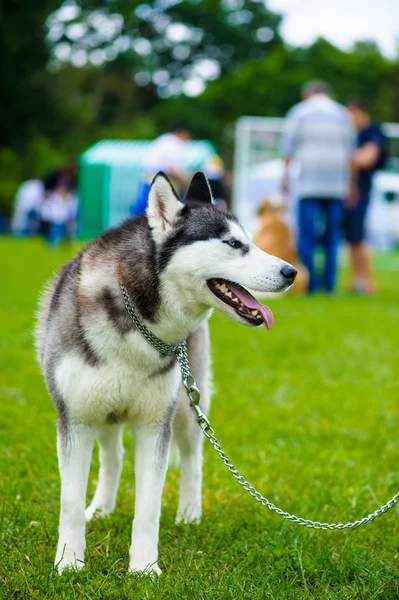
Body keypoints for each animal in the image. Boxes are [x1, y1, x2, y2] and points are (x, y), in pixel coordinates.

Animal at [36, 171, 296, 576]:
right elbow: (70, 502)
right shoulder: (74, 420)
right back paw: (102, 508)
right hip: (105, 413)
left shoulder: (155, 424)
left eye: (252, 241)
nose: (291, 272)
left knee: (193, 459)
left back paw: (189, 514)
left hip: (188, 407)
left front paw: (144, 568)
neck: (137, 320)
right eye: (233, 244)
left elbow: (149, 507)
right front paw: (69, 563)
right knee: (113, 457)